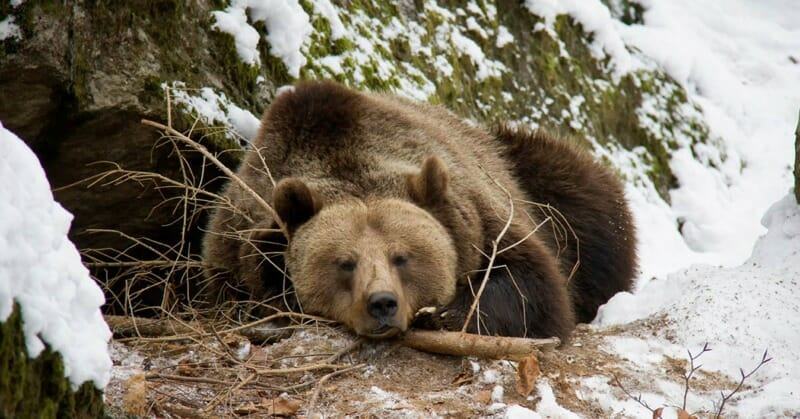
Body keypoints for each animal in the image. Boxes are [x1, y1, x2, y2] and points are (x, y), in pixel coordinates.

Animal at [202, 81, 636, 342]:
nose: (382, 303)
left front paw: (442, 313)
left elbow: (532, 288)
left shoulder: (485, 217)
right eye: (345, 262)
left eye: (403, 257)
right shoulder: (236, 244)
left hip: (541, 181)